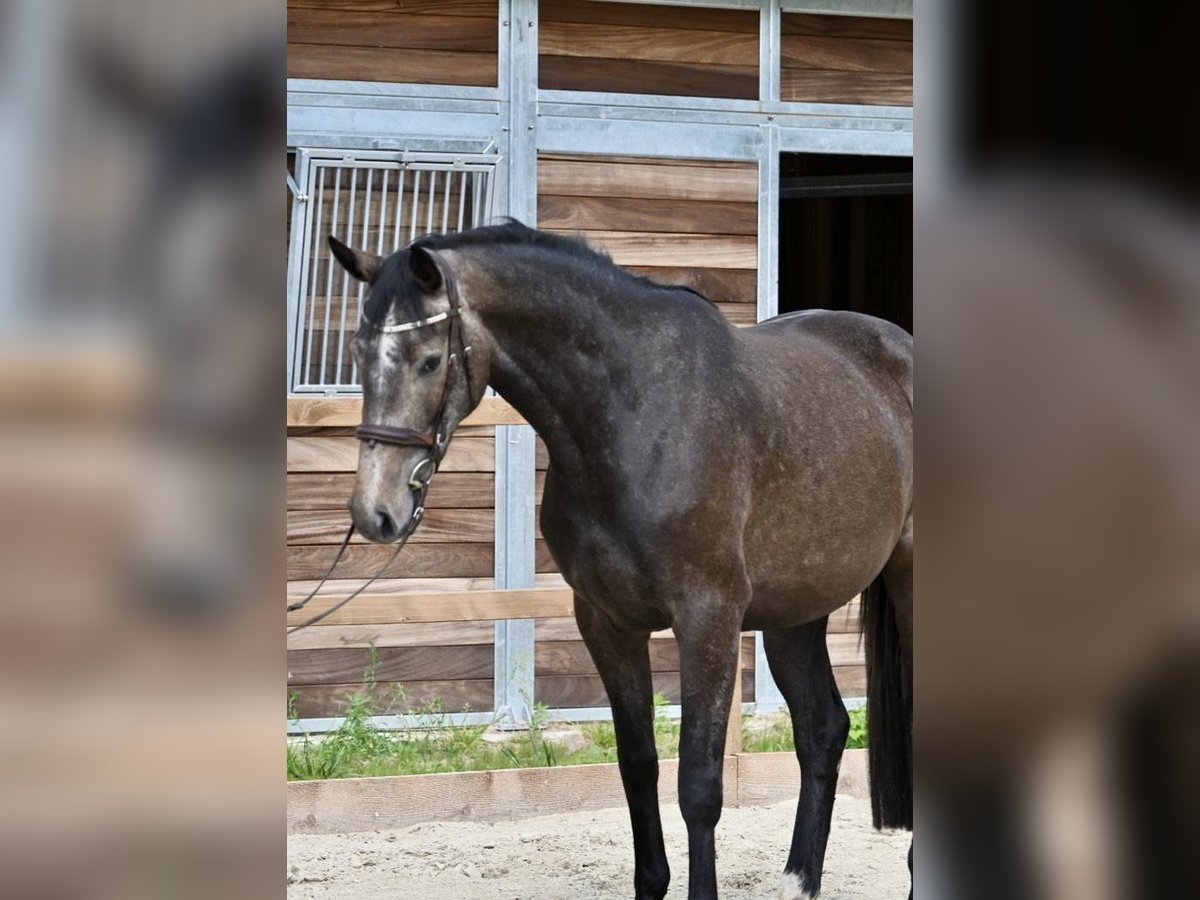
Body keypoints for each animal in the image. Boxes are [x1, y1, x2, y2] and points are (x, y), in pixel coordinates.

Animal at [326, 220, 907, 900]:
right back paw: (798, 881)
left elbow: (698, 786)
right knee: (823, 730)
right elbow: (637, 764)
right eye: (359, 354)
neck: (636, 416)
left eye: (429, 360)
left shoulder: (707, 620)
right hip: (796, 612)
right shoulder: (607, 623)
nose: (375, 511)